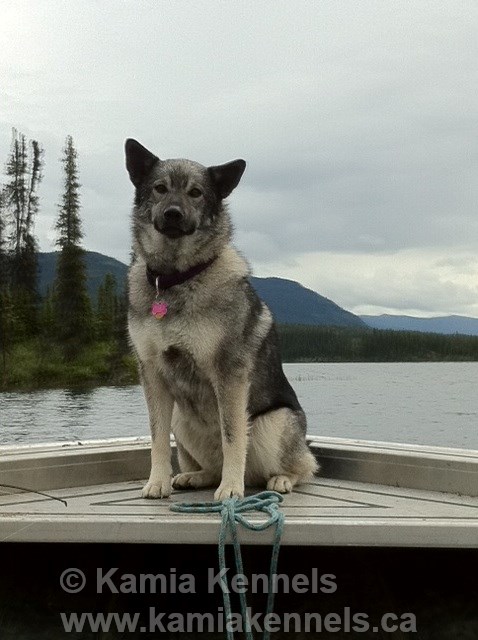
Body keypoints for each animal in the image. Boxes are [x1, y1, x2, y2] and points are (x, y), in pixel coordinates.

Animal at [124, 139, 318, 500]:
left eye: (196, 192)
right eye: (160, 188)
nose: (173, 213)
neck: (176, 278)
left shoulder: (229, 374)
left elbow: (232, 438)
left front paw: (230, 489)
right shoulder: (152, 373)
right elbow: (157, 438)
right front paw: (157, 481)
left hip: (273, 423)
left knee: (306, 466)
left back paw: (280, 479)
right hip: (181, 419)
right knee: (210, 466)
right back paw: (194, 476)